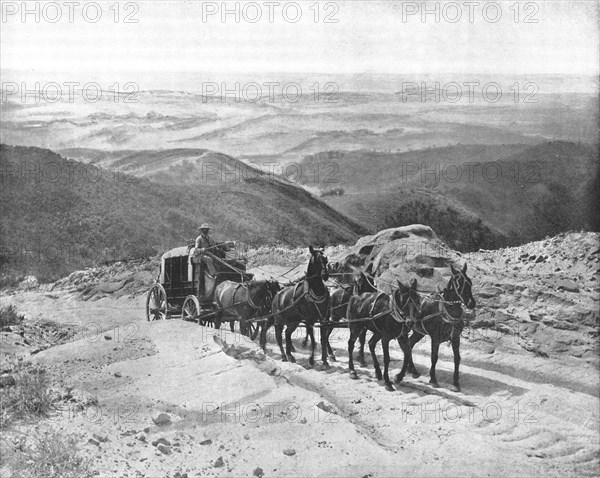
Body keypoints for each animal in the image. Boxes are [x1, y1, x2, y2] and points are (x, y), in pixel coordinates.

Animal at [398, 264, 478, 394]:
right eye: (459, 283)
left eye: (470, 282)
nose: (471, 303)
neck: (446, 310)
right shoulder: (435, 338)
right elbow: (434, 357)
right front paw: (433, 379)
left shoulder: (455, 338)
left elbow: (457, 358)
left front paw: (455, 383)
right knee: (405, 344)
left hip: (418, 332)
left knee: (409, 344)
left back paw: (412, 370)